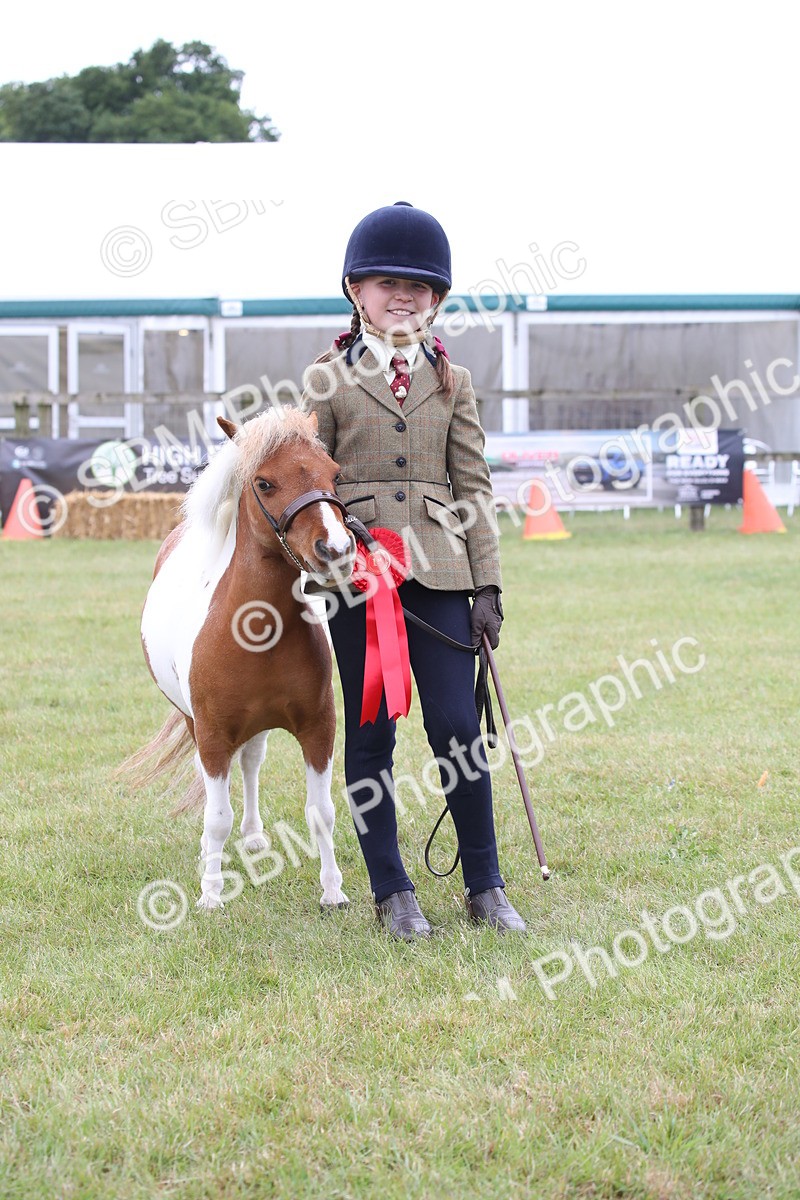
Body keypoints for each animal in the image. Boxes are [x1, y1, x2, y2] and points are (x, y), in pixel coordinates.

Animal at [124, 408, 357, 912]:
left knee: (251, 763)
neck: (253, 628)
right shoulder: (212, 735)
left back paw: (252, 837)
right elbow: (216, 817)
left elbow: (322, 811)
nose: (335, 550)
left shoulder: (319, 727)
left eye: (335, 475)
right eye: (265, 482)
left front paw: (333, 891)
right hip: (194, 723)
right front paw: (211, 895)